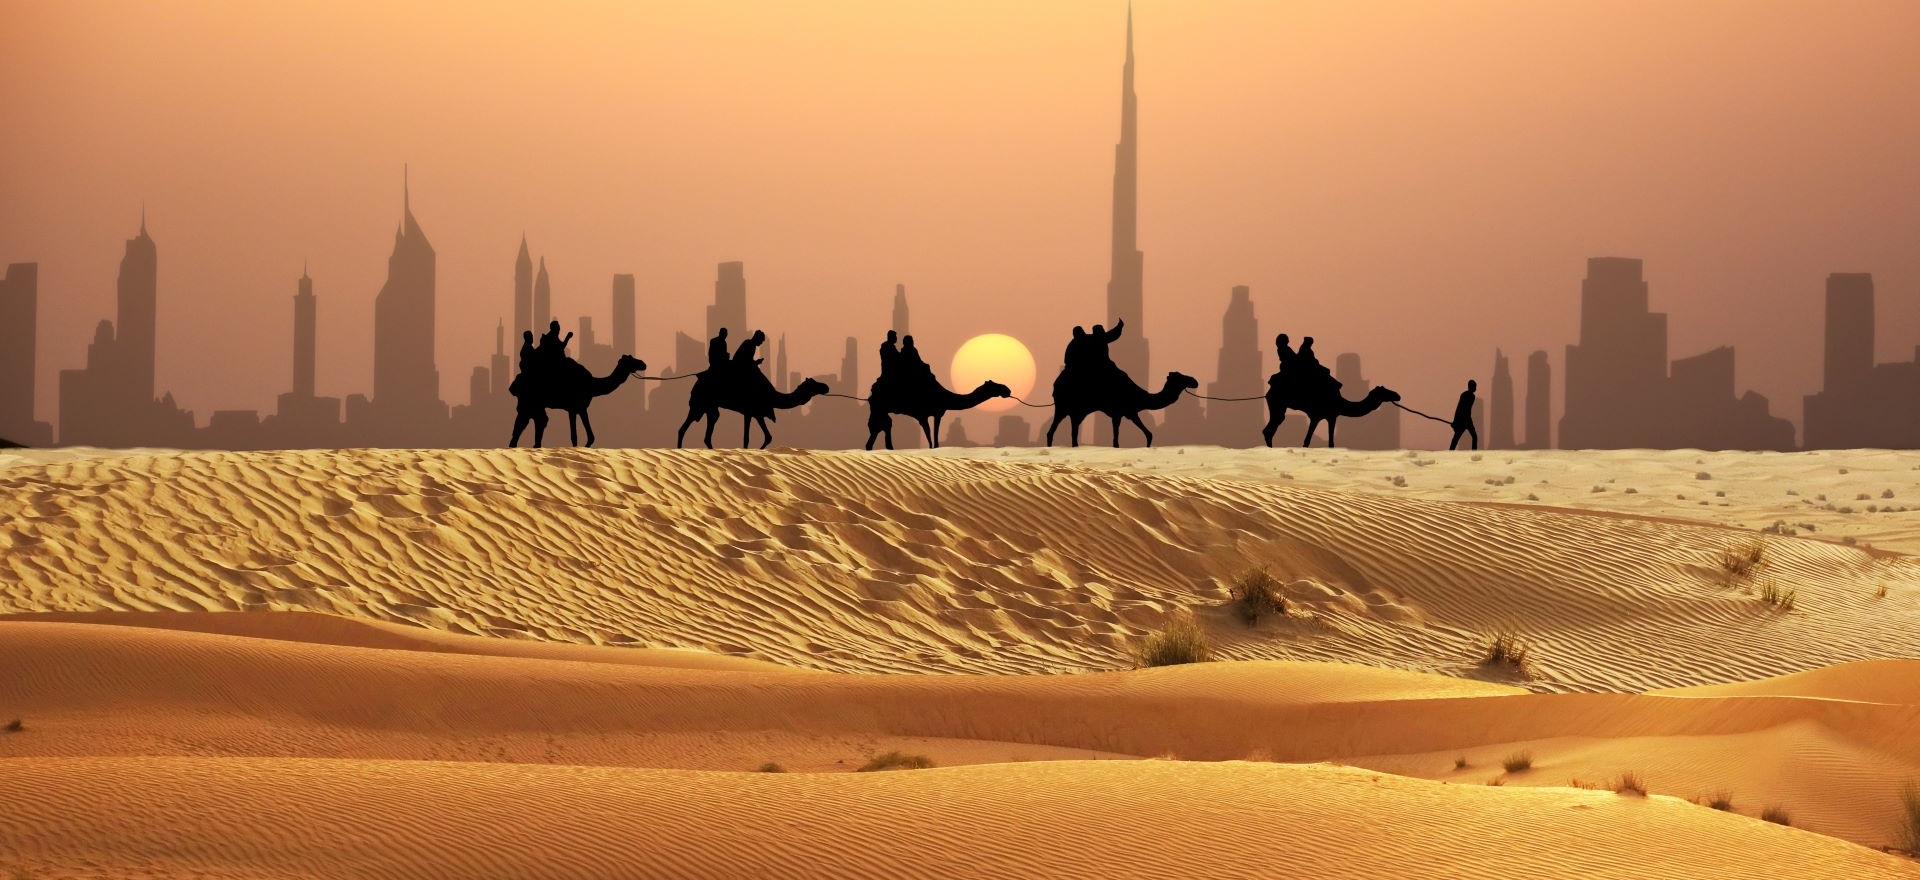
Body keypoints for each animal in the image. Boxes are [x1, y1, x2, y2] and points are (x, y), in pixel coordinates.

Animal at [510, 351, 645, 447]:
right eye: (630, 360)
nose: (643, 364)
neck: (592, 385)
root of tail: (515, 383)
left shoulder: (579, 408)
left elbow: (585, 436)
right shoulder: (574, 407)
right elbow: (578, 436)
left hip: (533, 403)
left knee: (534, 420)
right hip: (530, 401)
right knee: (528, 421)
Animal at [675, 368, 825, 449]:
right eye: (813, 384)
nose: (826, 387)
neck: (771, 396)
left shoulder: (758, 414)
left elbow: (768, 437)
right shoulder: (748, 412)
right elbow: (746, 438)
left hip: (710, 407)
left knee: (708, 431)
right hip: (699, 403)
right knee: (683, 428)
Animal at [871, 378, 1021, 449]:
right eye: (994, 385)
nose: (1007, 390)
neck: (945, 397)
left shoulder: (937, 413)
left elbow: (934, 437)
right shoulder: (924, 415)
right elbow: (931, 437)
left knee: (882, 426)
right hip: (879, 407)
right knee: (881, 426)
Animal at [1044, 368, 1190, 447]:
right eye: (1180, 377)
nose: (1193, 381)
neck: (1138, 395)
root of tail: (1056, 383)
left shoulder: (1130, 413)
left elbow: (1148, 434)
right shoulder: (1118, 413)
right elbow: (1116, 438)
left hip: (1076, 411)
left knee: (1069, 431)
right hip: (1065, 407)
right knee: (1057, 431)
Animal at [1267, 382, 1405, 447]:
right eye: (1384, 391)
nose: (1398, 395)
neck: (1340, 403)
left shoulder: (1327, 416)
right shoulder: (1320, 416)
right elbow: (1309, 441)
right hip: (1277, 405)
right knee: (1270, 429)